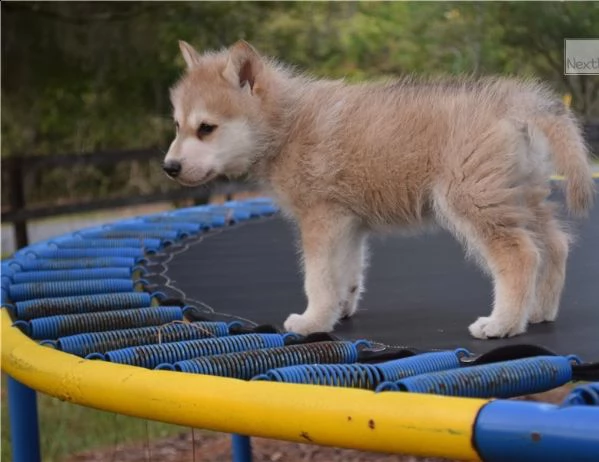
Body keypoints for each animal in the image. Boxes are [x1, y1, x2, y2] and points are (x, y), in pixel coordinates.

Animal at [164, 40, 596, 340]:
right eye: (178, 126)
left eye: (206, 128)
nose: (169, 167)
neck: (286, 125)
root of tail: (517, 101)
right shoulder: (346, 223)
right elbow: (346, 272)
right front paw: (338, 310)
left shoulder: (320, 218)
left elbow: (317, 277)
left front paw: (312, 320)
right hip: (521, 198)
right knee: (555, 245)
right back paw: (538, 312)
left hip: (473, 201)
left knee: (520, 255)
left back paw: (503, 324)